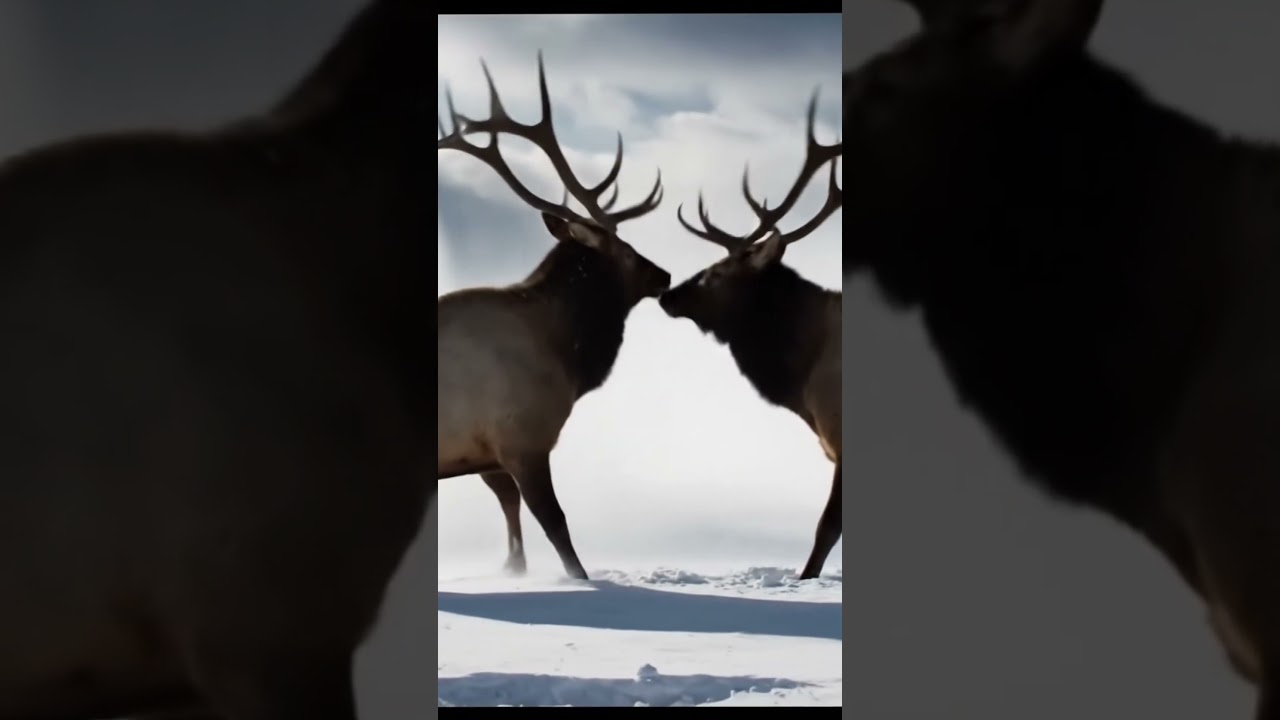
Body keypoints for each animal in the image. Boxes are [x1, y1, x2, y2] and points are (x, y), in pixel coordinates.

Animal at [436, 53, 671, 581]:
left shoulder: (486, 452)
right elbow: (557, 526)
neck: (568, 359)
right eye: (628, 252)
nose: (664, 274)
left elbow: (513, 529)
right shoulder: (522, 438)